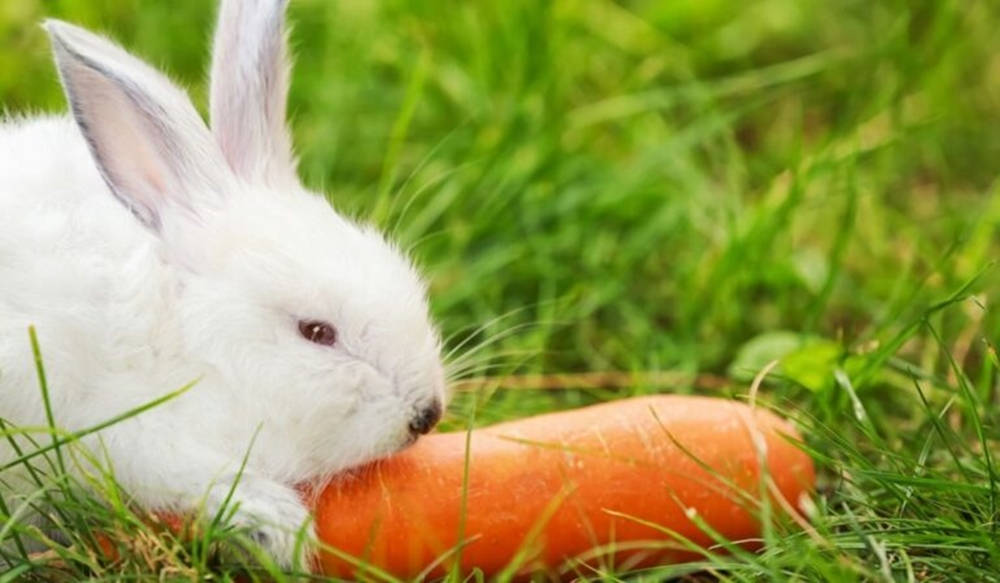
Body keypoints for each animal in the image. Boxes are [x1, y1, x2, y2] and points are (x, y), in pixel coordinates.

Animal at [0, 0, 446, 569]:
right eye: (316, 332)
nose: (427, 414)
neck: (191, 343)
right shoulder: (130, 436)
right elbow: (200, 479)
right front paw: (281, 531)